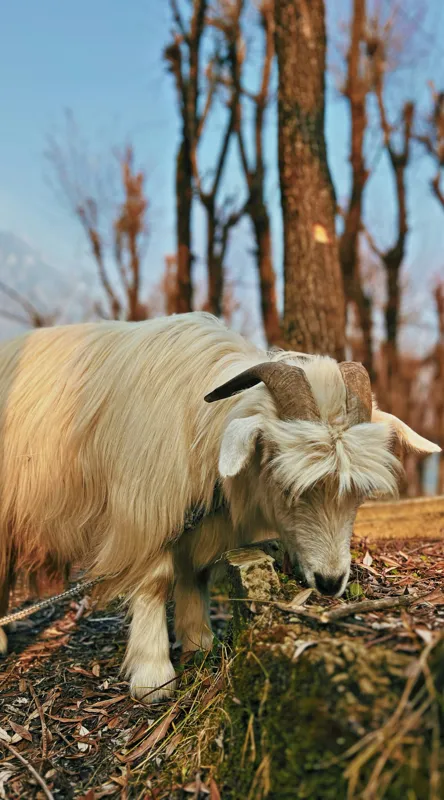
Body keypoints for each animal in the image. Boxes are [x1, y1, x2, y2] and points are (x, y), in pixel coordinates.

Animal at [0, 312, 439, 700]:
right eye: (284, 483)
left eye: (356, 495)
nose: (330, 583)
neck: (198, 419)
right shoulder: (144, 509)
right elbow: (155, 581)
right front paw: (153, 675)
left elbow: (196, 574)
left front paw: (199, 640)